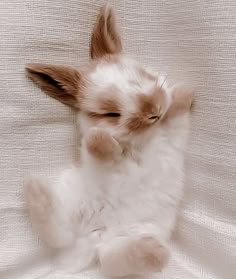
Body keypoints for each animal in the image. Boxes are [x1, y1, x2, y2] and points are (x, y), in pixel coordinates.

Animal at [24, 3, 193, 278]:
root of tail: (93, 237)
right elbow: (96, 146)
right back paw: (35, 189)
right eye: (110, 113)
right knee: (62, 234)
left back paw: (152, 251)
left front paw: (183, 91)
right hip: (73, 196)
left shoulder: (174, 134)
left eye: (141, 76)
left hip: (138, 230)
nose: (154, 110)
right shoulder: (96, 152)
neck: (141, 141)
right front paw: (100, 138)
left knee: (109, 260)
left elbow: (177, 113)